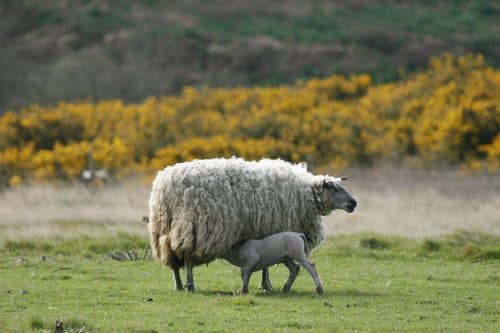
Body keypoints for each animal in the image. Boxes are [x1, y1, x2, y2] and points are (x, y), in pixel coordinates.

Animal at [148, 158, 356, 290]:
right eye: (334, 188)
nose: (354, 203)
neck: (306, 194)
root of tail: (165, 184)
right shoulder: (272, 228)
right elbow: (266, 263)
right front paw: (266, 286)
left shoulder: (265, 230)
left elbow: (266, 262)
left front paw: (266, 285)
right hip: (193, 228)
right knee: (188, 258)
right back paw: (190, 285)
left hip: (164, 231)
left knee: (173, 260)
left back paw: (178, 285)